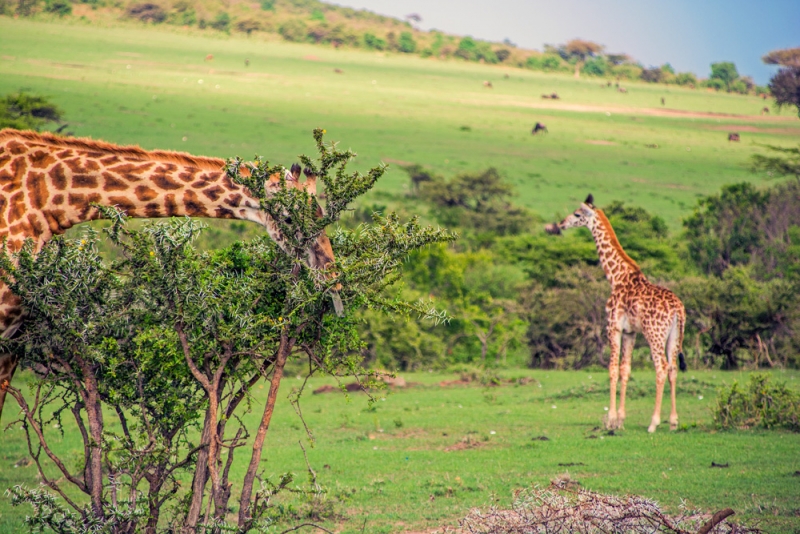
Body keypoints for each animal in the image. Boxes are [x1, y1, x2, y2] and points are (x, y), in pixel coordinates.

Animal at [552, 195, 688, 434]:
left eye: (577, 214)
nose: (561, 224)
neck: (616, 276)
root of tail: (678, 309)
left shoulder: (612, 327)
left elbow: (612, 370)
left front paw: (611, 420)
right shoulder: (629, 332)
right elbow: (625, 369)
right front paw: (621, 420)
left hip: (654, 334)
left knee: (661, 368)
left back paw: (654, 422)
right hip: (674, 335)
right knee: (672, 369)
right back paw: (673, 422)